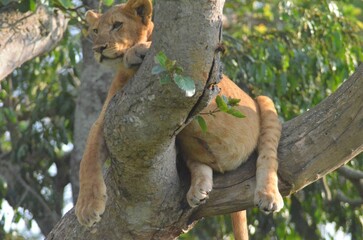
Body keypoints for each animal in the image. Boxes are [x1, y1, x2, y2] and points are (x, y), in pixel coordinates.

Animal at [76, 0, 284, 239]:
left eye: (117, 25)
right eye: (95, 31)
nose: (97, 49)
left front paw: (136, 51)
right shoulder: (107, 118)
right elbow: (88, 158)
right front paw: (87, 207)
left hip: (264, 102)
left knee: (268, 156)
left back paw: (269, 196)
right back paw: (198, 190)